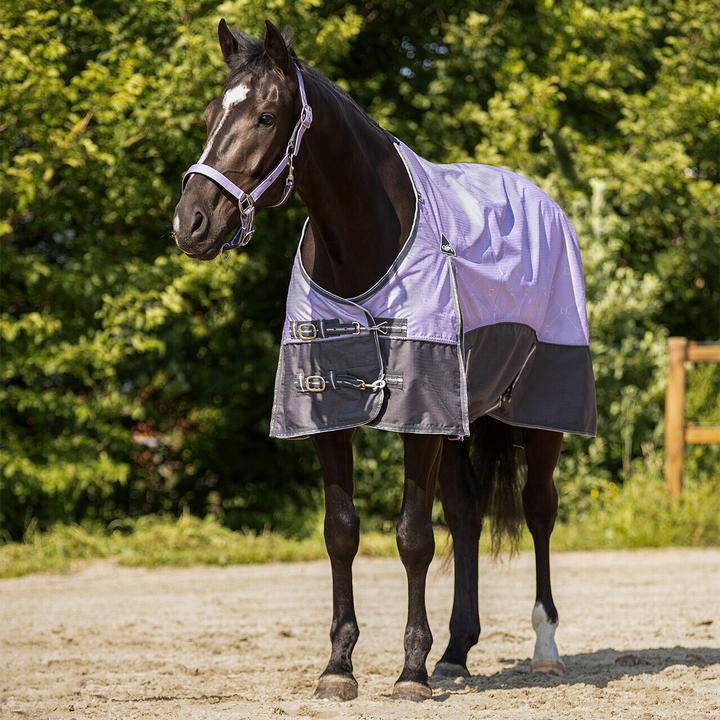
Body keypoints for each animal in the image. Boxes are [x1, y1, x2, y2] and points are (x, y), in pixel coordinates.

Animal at [173, 19, 596, 702]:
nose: (192, 223)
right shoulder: (330, 411)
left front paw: (410, 672)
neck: (364, 247)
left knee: (538, 510)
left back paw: (544, 648)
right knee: (467, 513)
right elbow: (342, 531)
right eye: (211, 113)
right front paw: (339, 667)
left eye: (265, 115)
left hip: (539, 411)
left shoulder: (417, 410)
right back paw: (457, 651)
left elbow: (413, 538)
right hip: (461, 417)